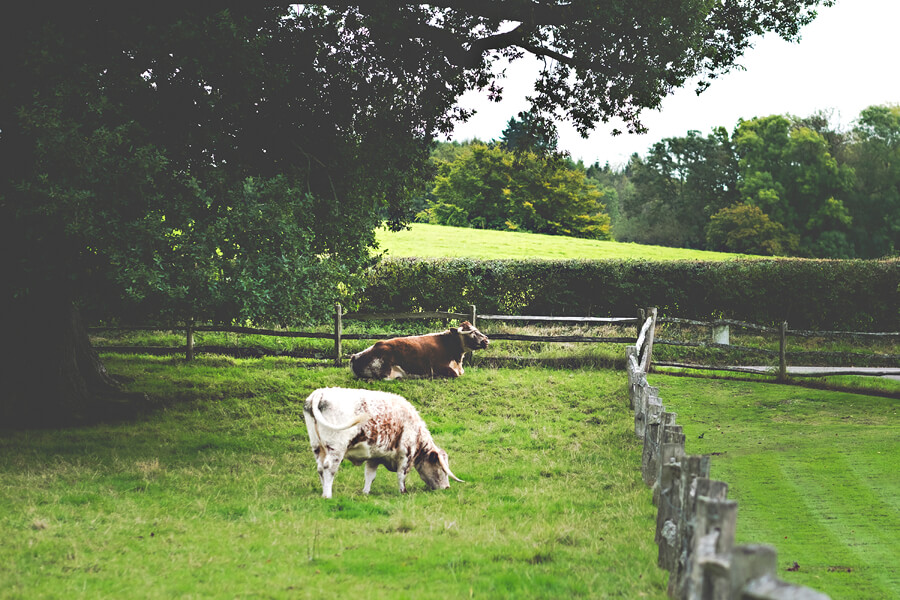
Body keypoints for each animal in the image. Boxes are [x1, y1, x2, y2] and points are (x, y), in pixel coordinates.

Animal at [302, 386, 464, 500]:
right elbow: (401, 475)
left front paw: (365, 492)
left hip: (318, 447)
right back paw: (328, 495)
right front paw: (403, 492)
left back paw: (323, 491)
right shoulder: (406, 453)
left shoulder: (374, 456)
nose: (447, 487)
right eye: (441, 468)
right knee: (329, 468)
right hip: (336, 448)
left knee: (320, 468)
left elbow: (370, 475)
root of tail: (320, 393)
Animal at [352, 318, 492, 380]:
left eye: (476, 329)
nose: (486, 340)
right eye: (471, 332)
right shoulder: (438, 367)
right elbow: (453, 374)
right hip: (385, 372)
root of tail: (354, 356)